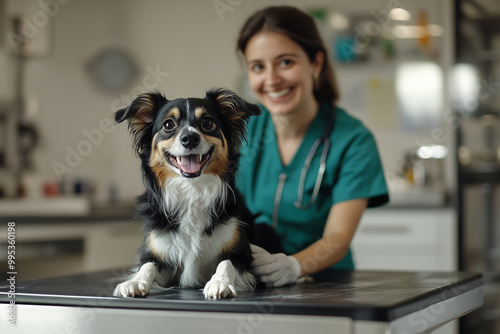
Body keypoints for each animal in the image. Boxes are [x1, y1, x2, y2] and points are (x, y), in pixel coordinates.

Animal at [112, 87, 262, 298]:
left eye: (207, 122)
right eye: (168, 125)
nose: (190, 138)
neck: (193, 190)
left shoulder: (242, 255)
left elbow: (226, 263)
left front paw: (219, 282)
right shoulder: (159, 254)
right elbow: (147, 266)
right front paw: (134, 282)